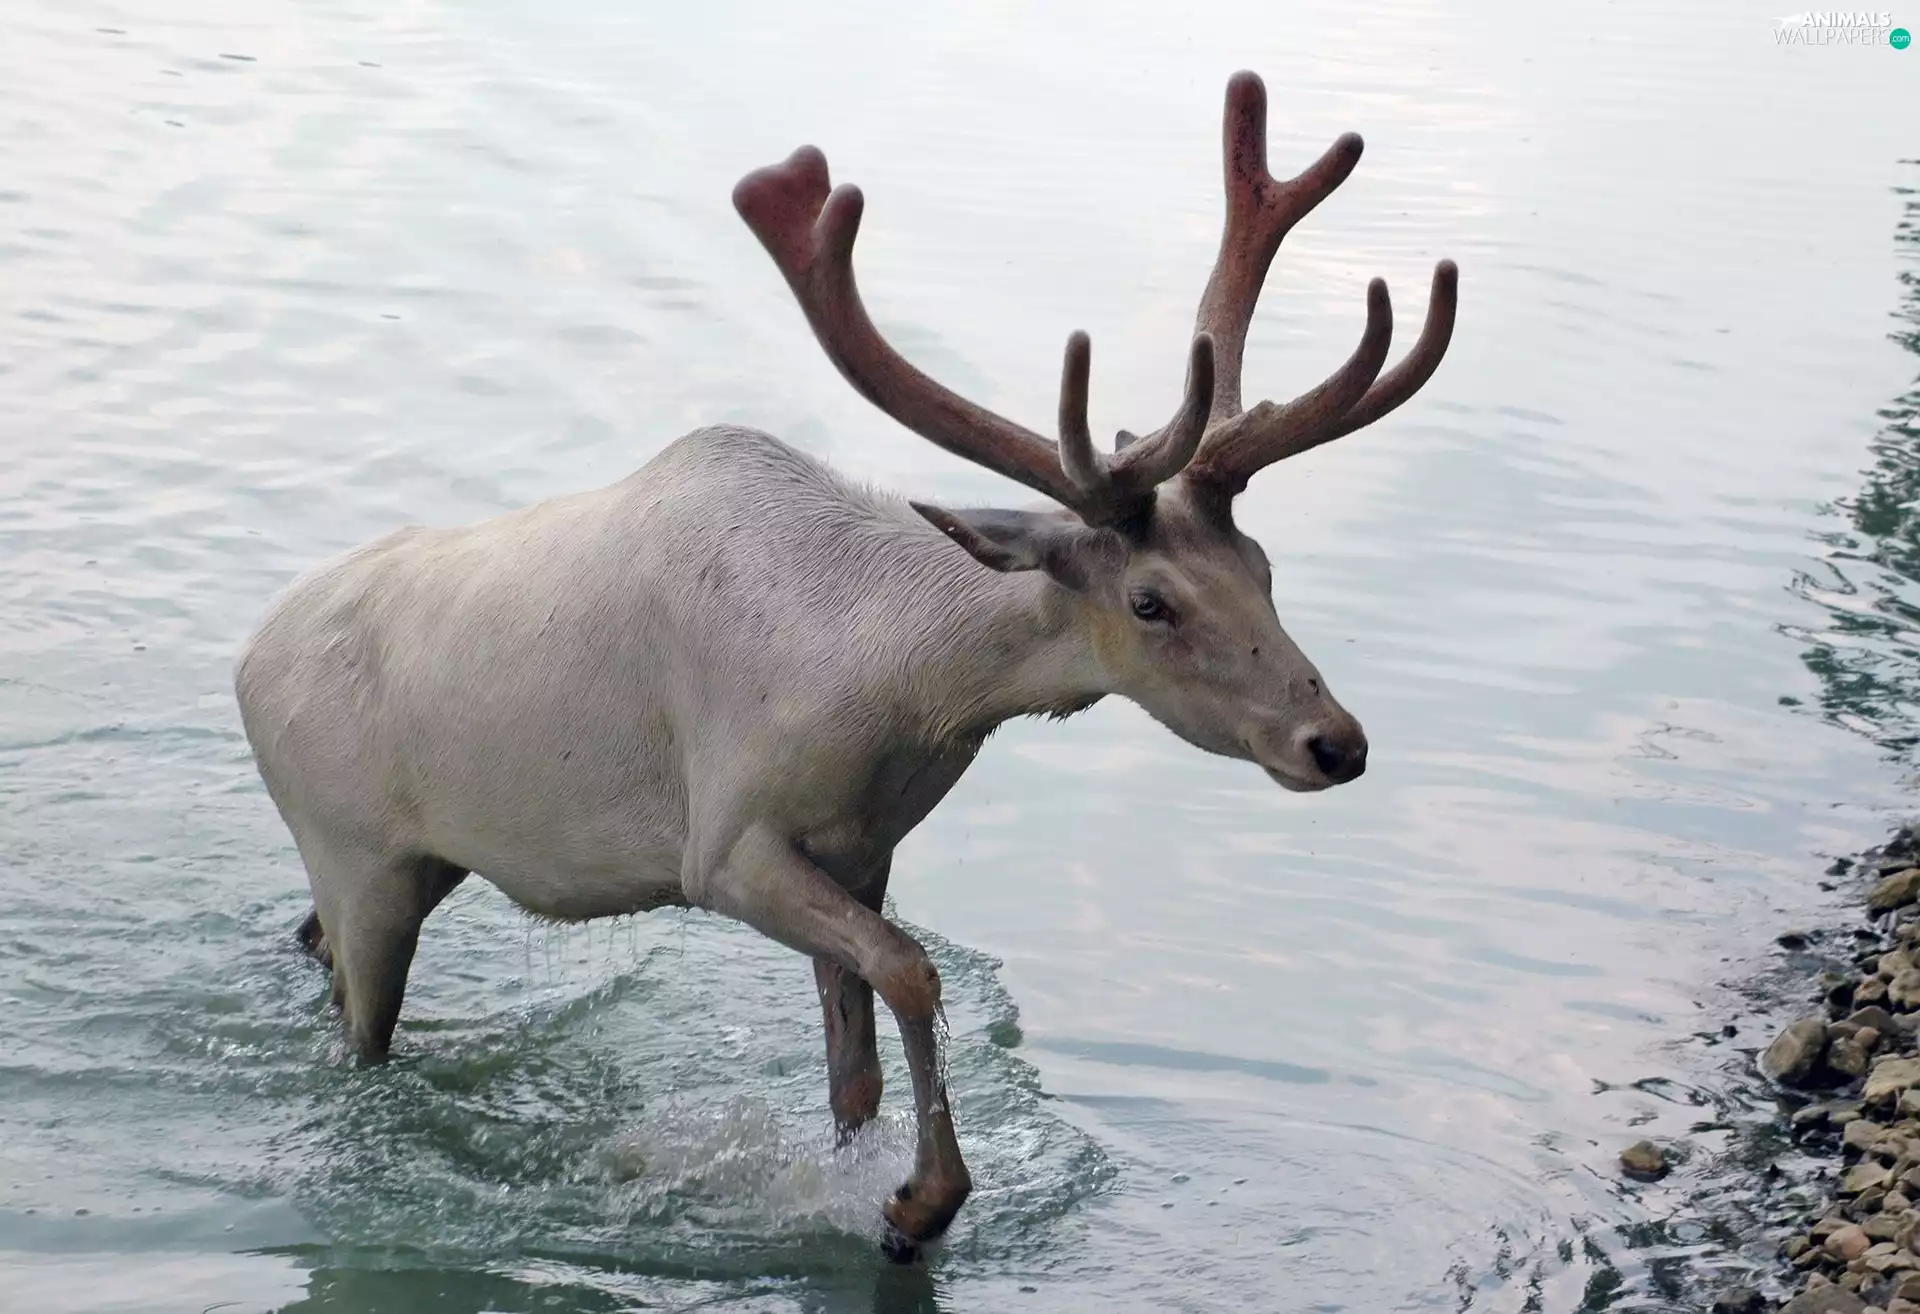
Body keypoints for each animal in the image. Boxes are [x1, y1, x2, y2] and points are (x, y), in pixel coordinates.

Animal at [233, 70, 1456, 1261]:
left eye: (1262, 565)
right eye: (1151, 602)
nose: (1334, 741)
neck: (892, 694)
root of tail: (244, 660)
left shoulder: (862, 848)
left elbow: (856, 1064)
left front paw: (884, 1179)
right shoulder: (724, 848)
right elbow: (913, 968)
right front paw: (919, 1201)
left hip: (418, 861)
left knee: (315, 940)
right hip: (352, 852)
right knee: (360, 1023)